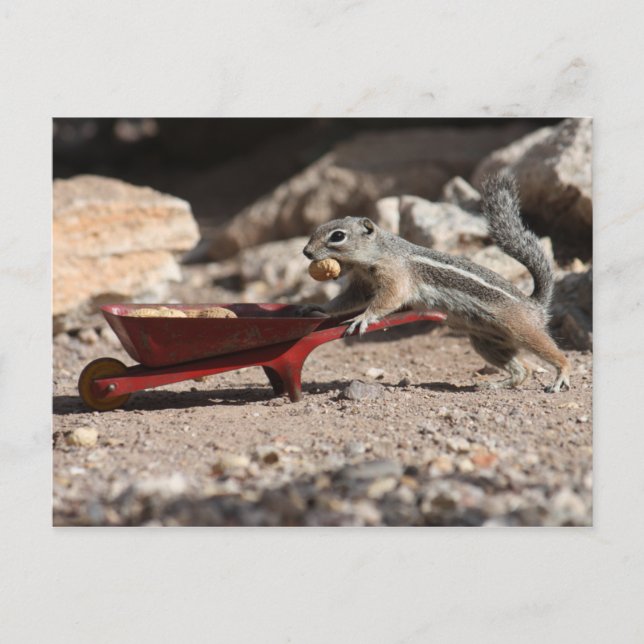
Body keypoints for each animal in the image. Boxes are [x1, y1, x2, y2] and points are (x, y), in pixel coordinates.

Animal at [302, 173, 570, 393]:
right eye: (318, 228)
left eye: (338, 236)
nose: (306, 252)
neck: (375, 255)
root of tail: (535, 304)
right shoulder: (361, 285)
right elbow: (346, 301)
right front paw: (317, 308)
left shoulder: (396, 276)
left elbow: (388, 300)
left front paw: (363, 318)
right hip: (486, 342)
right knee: (523, 369)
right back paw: (495, 385)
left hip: (521, 329)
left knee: (556, 354)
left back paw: (561, 376)